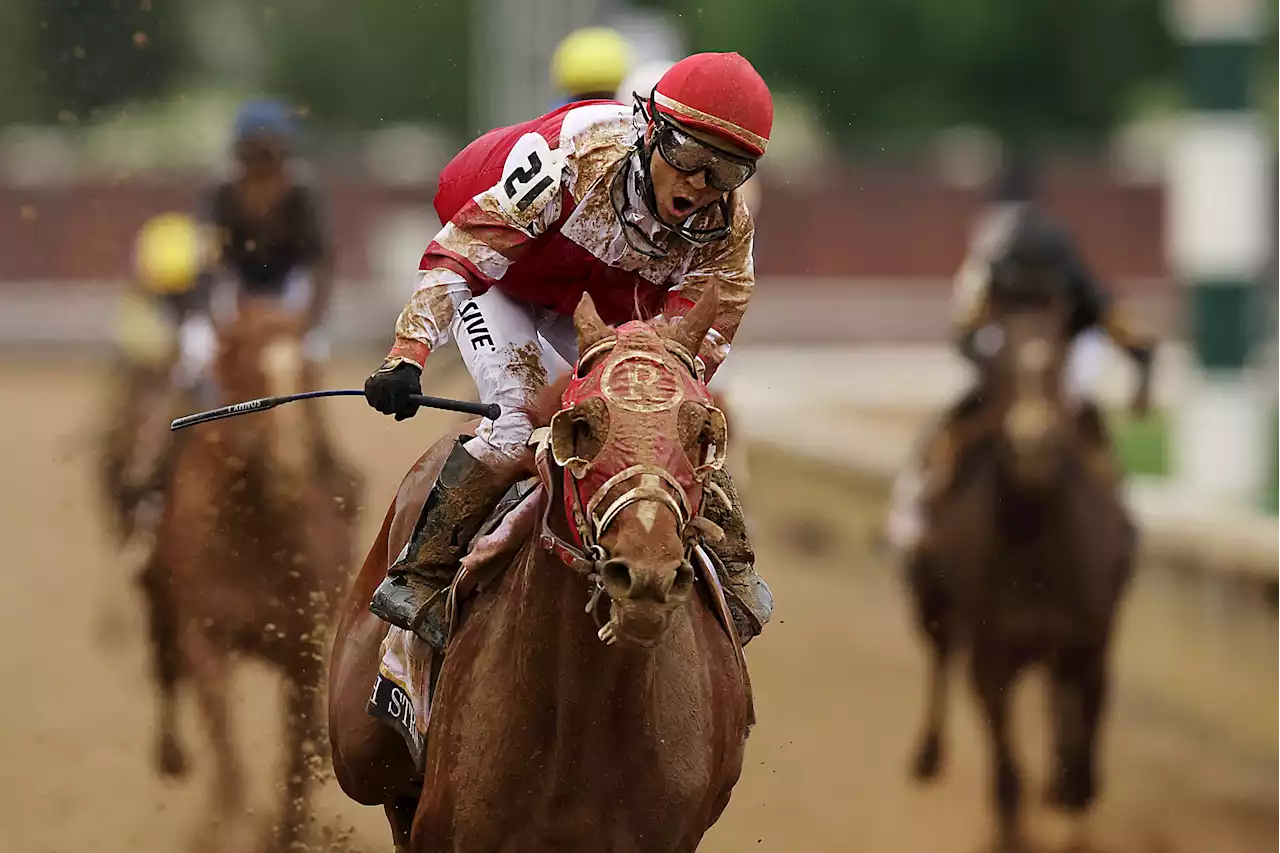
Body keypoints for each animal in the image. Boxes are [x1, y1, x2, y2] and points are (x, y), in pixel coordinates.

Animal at [142, 298, 358, 850]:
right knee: (165, 673)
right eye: (247, 375)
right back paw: (171, 756)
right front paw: (226, 828)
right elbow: (225, 749)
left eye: (308, 373)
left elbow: (297, 759)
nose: (292, 464)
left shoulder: (303, 646)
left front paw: (283, 830)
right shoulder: (204, 637)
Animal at [906, 270, 1136, 845]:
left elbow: (1083, 759)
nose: (1032, 446)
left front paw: (1072, 805)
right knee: (940, 659)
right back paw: (928, 755)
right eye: (996, 362)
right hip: (931, 602)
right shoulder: (992, 655)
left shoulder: (1090, 646)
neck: (1038, 558)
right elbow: (1007, 767)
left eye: (1057, 359)